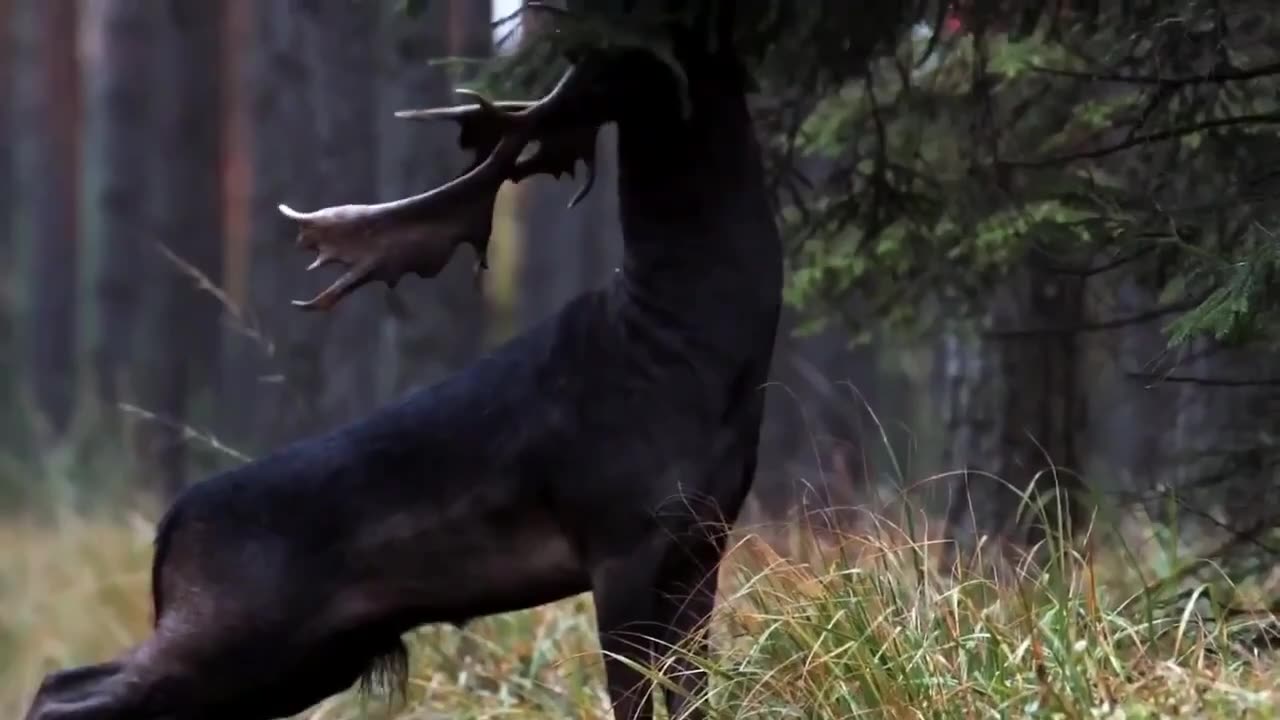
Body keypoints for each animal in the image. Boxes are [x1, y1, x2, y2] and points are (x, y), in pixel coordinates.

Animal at [23, 14, 782, 720]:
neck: (687, 345)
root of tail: (169, 529)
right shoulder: (616, 533)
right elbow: (633, 696)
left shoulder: (701, 545)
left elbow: (692, 695)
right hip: (228, 627)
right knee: (63, 688)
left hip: (303, 657)